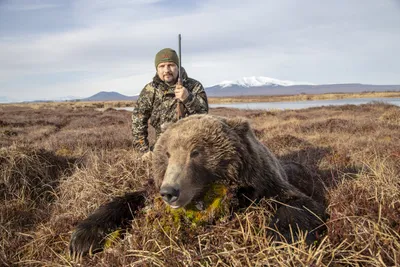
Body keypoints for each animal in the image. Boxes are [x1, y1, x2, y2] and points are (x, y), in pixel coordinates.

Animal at [69, 115, 326, 260]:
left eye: (196, 152)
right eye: (167, 153)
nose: (170, 192)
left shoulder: (265, 181)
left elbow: (298, 204)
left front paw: (284, 239)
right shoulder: (150, 190)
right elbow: (124, 201)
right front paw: (82, 239)